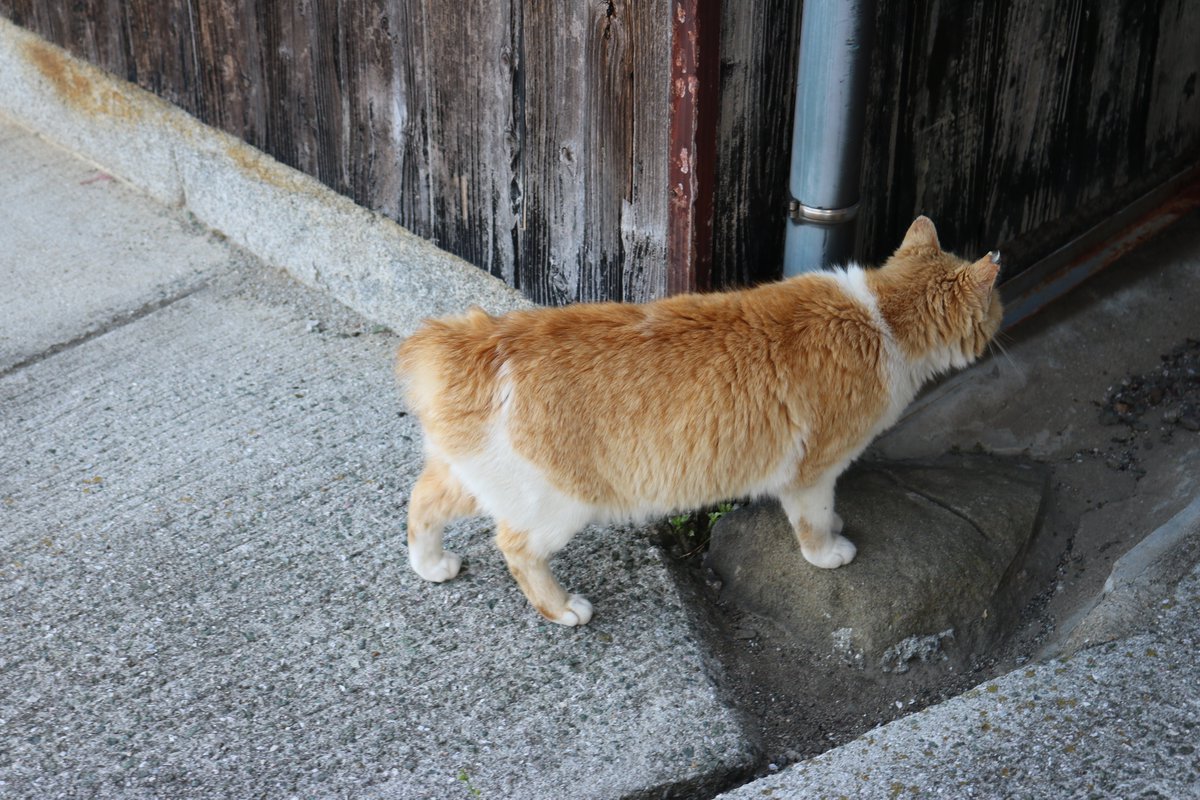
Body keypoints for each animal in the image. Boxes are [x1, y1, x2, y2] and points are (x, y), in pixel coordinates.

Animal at [396, 217, 1003, 623]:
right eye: (996, 307)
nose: (1004, 313)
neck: (881, 317)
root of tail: (473, 341)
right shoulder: (812, 472)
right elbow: (812, 523)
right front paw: (829, 552)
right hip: (554, 506)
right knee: (515, 550)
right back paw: (563, 608)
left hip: (476, 478)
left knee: (421, 502)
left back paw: (431, 565)